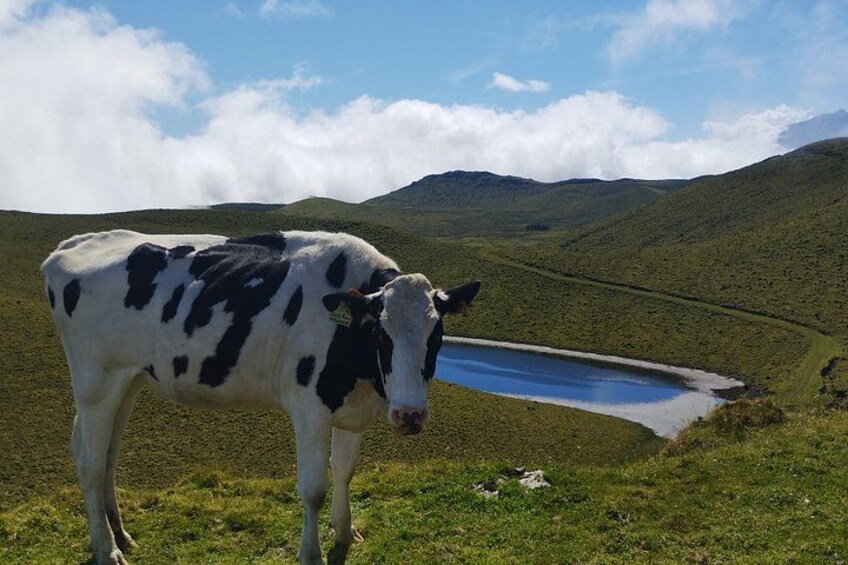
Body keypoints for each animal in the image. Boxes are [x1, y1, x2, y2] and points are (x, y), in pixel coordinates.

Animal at [42, 229, 481, 565]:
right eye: (379, 332)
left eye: (437, 335)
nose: (410, 414)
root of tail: (73, 245)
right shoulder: (310, 409)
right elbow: (314, 488)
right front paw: (311, 553)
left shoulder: (352, 407)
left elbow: (345, 471)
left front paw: (345, 531)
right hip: (95, 380)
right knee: (90, 461)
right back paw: (107, 549)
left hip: (127, 379)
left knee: (108, 455)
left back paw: (120, 533)